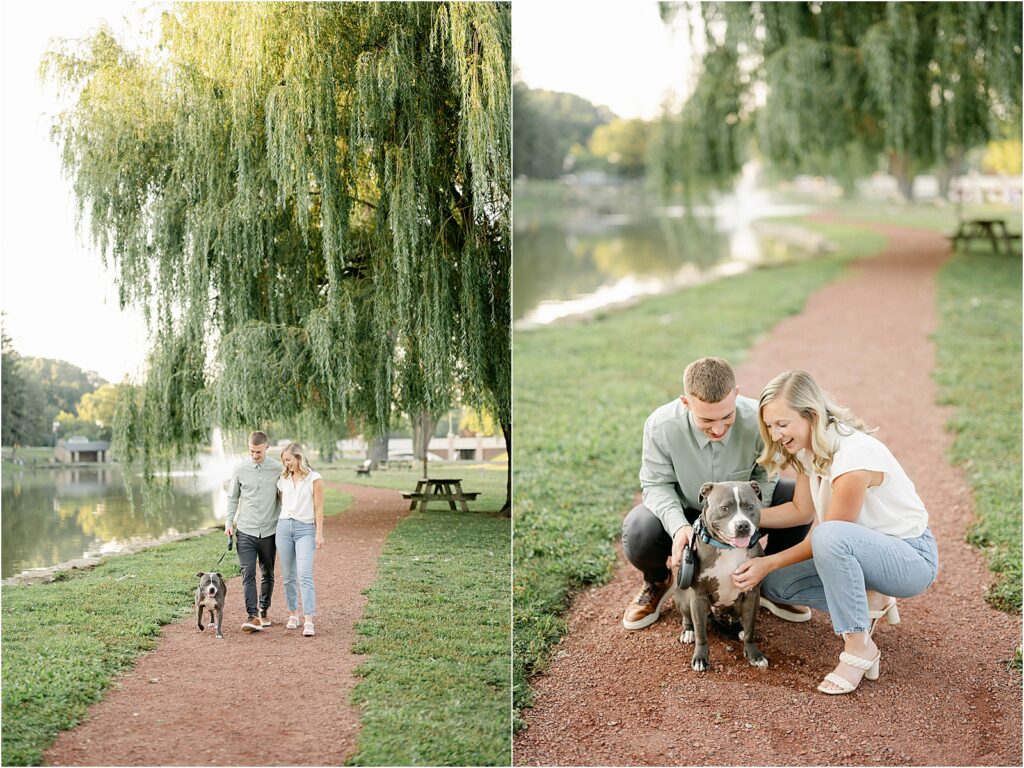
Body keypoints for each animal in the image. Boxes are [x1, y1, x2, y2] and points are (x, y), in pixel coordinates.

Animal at [671, 481, 770, 671]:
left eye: (750, 506)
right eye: (725, 508)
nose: (742, 525)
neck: (728, 548)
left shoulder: (752, 593)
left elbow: (750, 629)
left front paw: (754, 654)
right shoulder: (698, 596)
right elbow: (701, 632)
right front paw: (700, 657)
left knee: (737, 617)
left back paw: (738, 628)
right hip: (685, 598)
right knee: (688, 618)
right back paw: (688, 631)